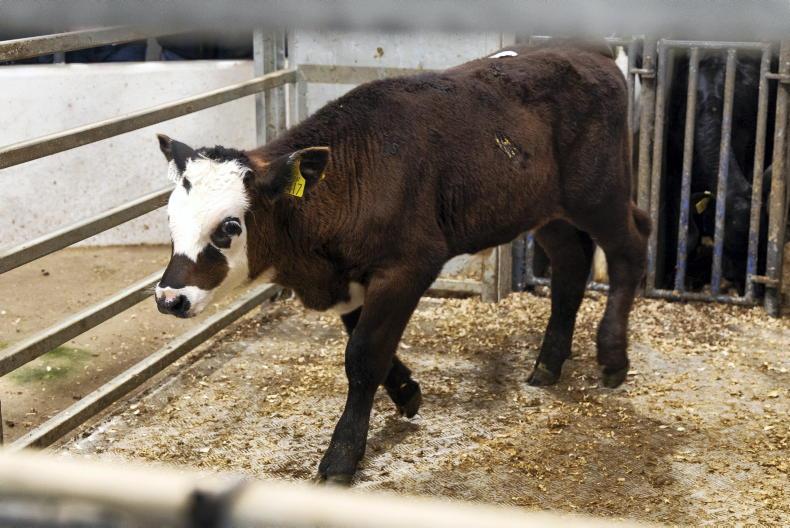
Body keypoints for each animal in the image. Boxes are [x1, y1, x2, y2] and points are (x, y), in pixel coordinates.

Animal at [153, 40, 650, 484]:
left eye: (228, 227)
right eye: (171, 220)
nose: (169, 298)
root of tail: (590, 51)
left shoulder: (407, 266)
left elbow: (364, 354)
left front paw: (342, 455)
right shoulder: (348, 278)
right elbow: (365, 341)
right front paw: (408, 391)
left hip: (600, 194)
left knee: (631, 247)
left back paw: (612, 357)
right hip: (543, 208)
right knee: (571, 264)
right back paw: (548, 363)